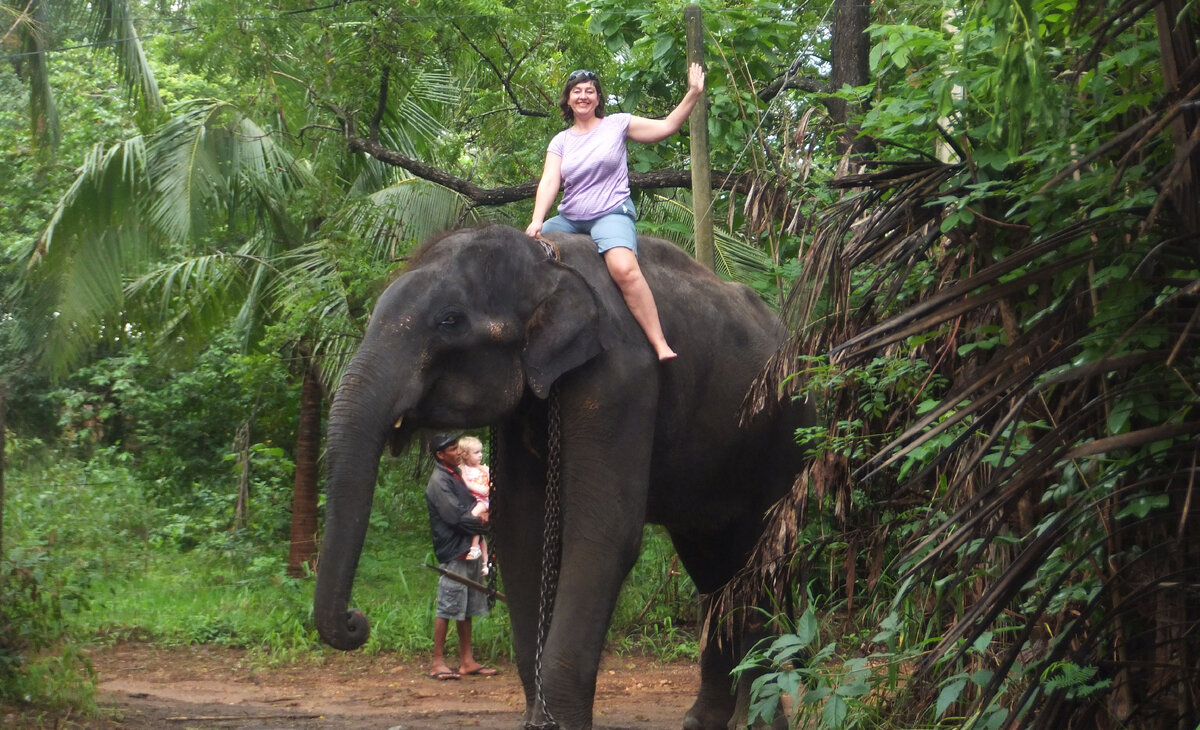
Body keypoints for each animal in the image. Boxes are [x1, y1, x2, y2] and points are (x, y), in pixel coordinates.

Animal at [312, 223, 816, 730]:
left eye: (449, 320)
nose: (357, 620)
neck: (546, 263)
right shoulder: (521, 411)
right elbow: (521, 534)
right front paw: (539, 720)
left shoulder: (620, 378)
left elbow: (602, 534)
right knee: (710, 562)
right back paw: (703, 720)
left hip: (788, 430)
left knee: (760, 557)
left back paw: (756, 721)